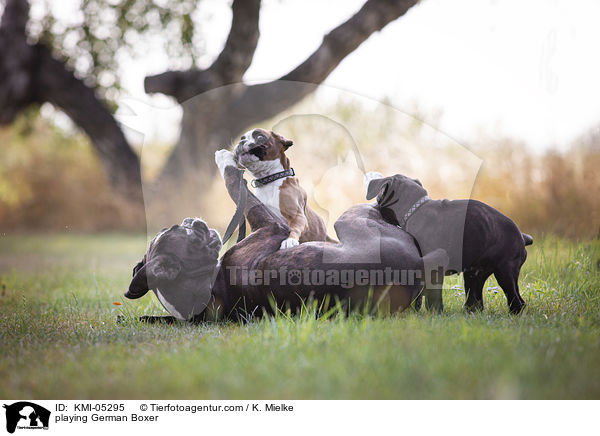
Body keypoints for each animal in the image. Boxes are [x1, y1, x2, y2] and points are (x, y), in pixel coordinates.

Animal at [366, 174, 536, 314]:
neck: (415, 210)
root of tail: (522, 237)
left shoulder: (434, 267)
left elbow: (432, 295)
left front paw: (434, 314)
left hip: (505, 272)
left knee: (517, 301)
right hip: (474, 275)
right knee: (476, 302)